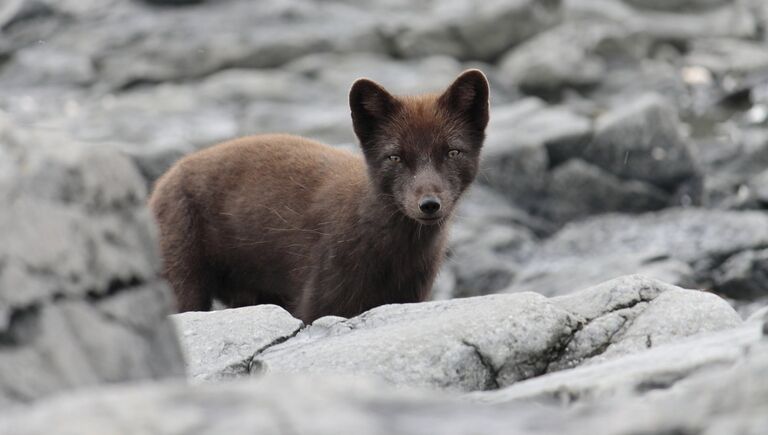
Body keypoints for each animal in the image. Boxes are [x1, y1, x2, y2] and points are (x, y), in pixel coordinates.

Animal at [148, 70, 488, 324]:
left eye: (452, 151)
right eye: (394, 157)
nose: (429, 204)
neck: (393, 259)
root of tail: (161, 182)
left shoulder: (411, 296)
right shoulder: (321, 296)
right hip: (180, 271)